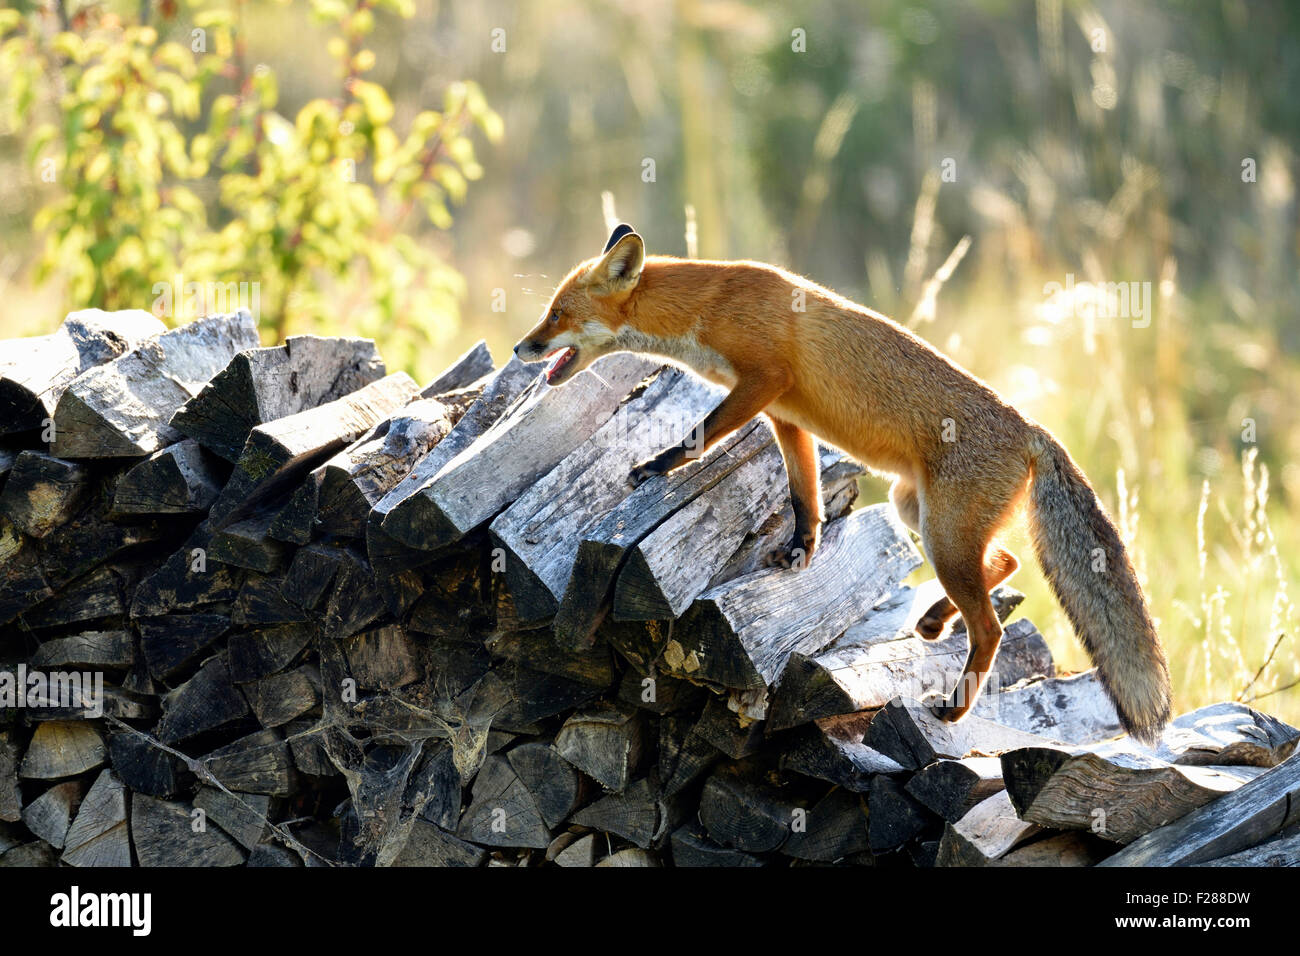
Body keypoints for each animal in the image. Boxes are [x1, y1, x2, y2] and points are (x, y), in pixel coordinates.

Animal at [513, 223, 1172, 743]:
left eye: (557, 314)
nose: (523, 345)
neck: (708, 307)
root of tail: (1031, 429)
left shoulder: (763, 379)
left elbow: (700, 434)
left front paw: (658, 465)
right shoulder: (786, 416)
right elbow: (804, 495)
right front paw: (802, 550)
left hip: (942, 536)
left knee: (990, 624)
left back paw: (954, 709)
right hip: (917, 514)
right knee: (1006, 562)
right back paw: (934, 621)